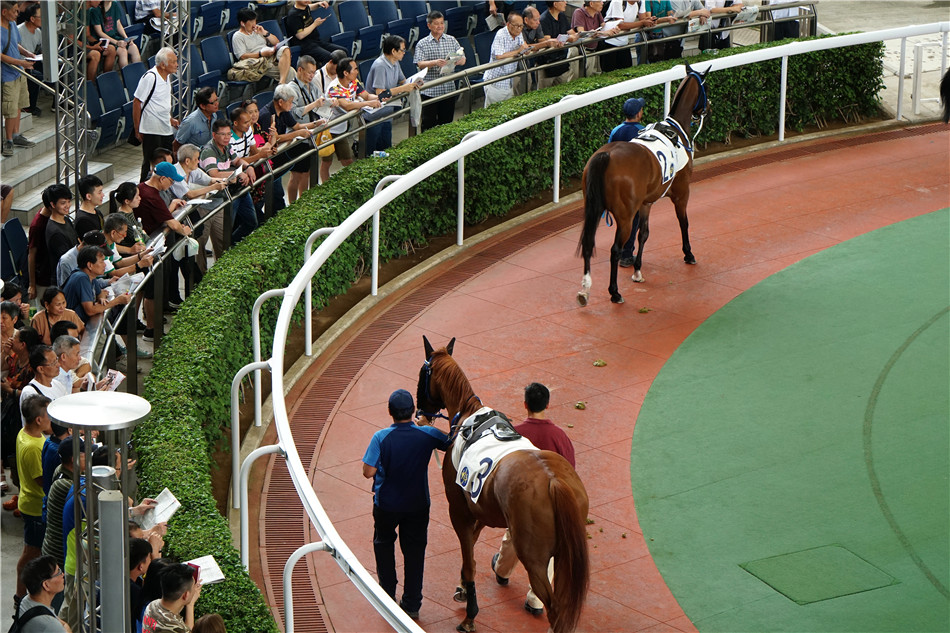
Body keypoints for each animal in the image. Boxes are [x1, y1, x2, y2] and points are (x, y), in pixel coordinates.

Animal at [420, 338, 592, 632]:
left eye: (423, 374)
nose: (420, 410)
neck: (469, 417)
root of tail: (554, 482)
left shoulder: (458, 510)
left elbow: (469, 559)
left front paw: (470, 615)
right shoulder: (481, 509)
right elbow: (473, 545)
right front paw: (463, 589)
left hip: (534, 558)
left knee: (555, 609)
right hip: (564, 555)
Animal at [576, 63, 712, 304]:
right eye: (706, 87)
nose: (709, 107)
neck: (675, 128)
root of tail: (604, 156)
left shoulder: (646, 203)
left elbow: (644, 233)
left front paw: (638, 271)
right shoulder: (681, 193)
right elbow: (683, 222)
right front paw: (688, 253)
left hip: (593, 208)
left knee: (589, 243)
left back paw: (585, 290)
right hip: (624, 217)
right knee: (615, 249)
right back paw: (614, 292)